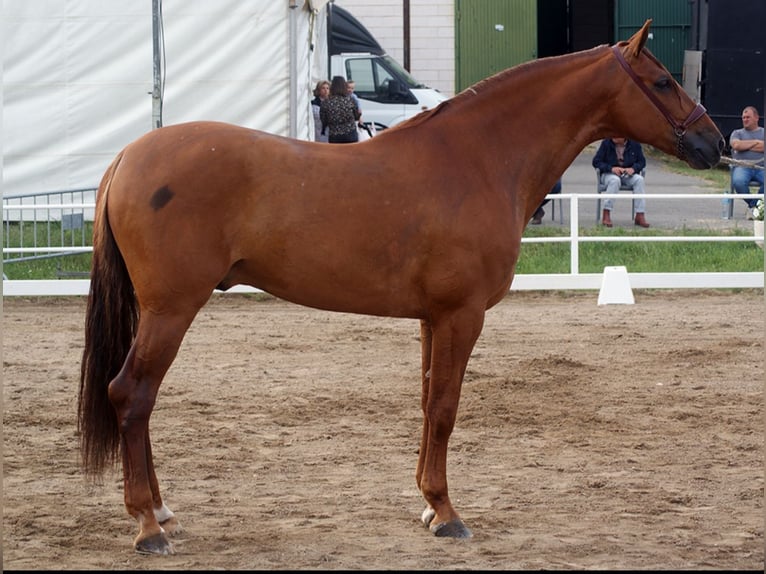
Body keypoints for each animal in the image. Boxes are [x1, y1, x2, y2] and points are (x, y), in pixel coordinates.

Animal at [79, 20, 728, 556]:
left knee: (139, 399)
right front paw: (447, 513)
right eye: (663, 81)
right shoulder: (461, 315)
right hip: (170, 310)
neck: (478, 158)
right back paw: (148, 526)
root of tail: (128, 157)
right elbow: (445, 408)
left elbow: (425, 402)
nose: (715, 144)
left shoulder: (430, 319)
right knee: (132, 394)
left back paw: (162, 510)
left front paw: (427, 505)